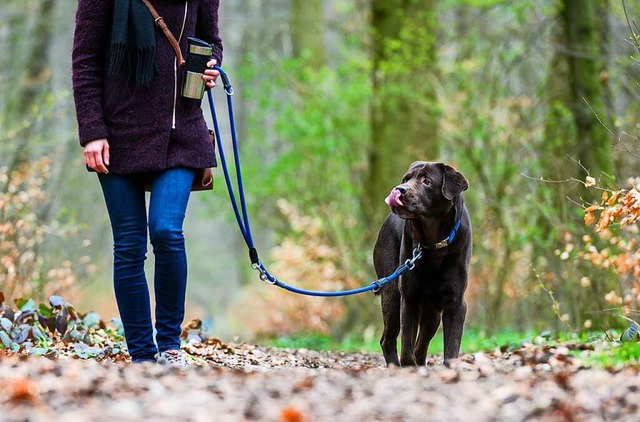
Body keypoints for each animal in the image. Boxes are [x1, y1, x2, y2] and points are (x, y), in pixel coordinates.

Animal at [372, 162, 472, 366]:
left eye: (427, 181)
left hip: (433, 312)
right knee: (389, 339)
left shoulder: (456, 302)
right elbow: (406, 346)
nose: (399, 189)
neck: (434, 243)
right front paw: (408, 365)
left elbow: (452, 346)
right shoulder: (409, 297)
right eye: (405, 179)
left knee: (421, 343)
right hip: (392, 294)